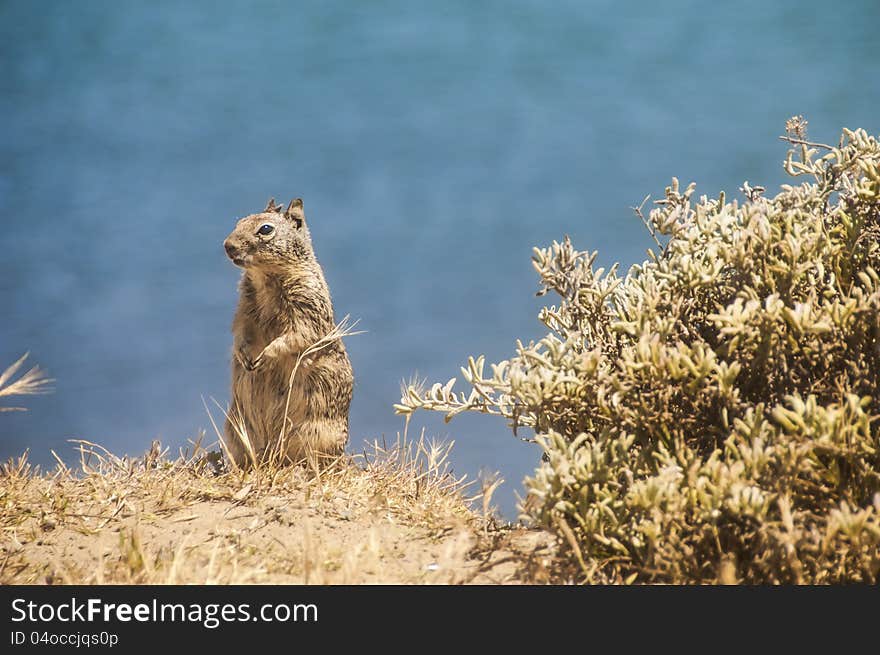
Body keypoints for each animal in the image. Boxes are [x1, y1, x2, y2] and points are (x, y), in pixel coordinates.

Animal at [223, 195, 354, 466]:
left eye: (265, 229)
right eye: (239, 221)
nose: (227, 246)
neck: (265, 277)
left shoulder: (306, 306)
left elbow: (297, 336)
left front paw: (265, 356)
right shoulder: (244, 307)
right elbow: (240, 331)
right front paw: (244, 356)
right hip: (234, 427)